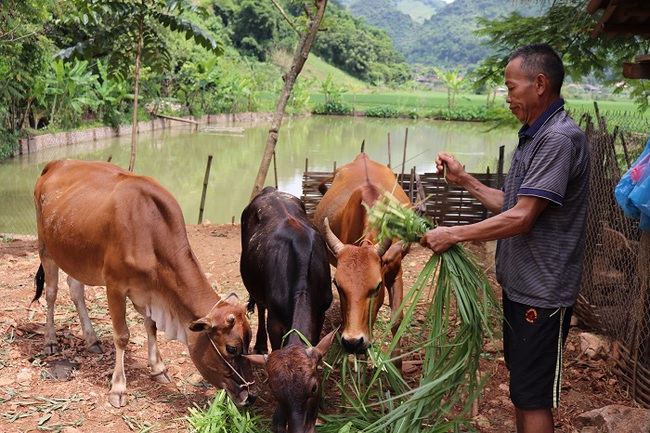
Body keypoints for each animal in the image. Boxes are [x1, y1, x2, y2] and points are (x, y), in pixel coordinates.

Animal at [33, 158, 254, 404]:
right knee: (51, 294)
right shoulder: (115, 286)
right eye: (232, 349)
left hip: (74, 254)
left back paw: (92, 340)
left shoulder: (150, 291)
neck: (150, 231)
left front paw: (158, 369)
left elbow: (152, 326)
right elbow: (122, 336)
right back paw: (50, 340)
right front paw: (118, 387)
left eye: (250, 344)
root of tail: (57, 163)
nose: (250, 396)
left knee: (75, 290)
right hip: (45, 247)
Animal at [240, 186, 336, 432]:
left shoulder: (321, 311)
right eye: (275, 391)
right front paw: (278, 418)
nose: (300, 429)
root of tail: (270, 190)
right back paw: (259, 344)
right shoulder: (275, 320)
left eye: (314, 388)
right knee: (260, 305)